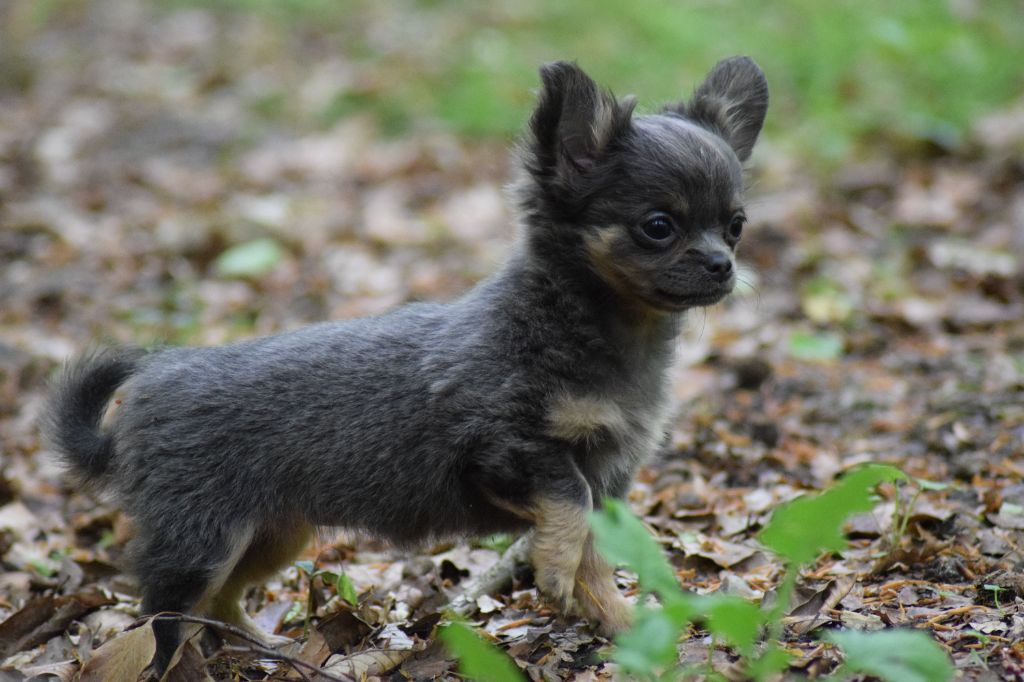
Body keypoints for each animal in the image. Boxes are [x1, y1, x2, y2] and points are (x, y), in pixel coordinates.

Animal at [46, 55, 770, 671]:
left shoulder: (606, 481)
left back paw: (265, 648)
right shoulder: (506, 448)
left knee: (221, 603)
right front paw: (563, 577)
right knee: (164, 621)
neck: (605, 333)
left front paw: (622, 625)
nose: (721, 264)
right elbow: (568, 504)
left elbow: (596, 556)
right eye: (658, 226)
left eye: (736, 225)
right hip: (199, 542)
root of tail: (148, 388)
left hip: (272, 535)